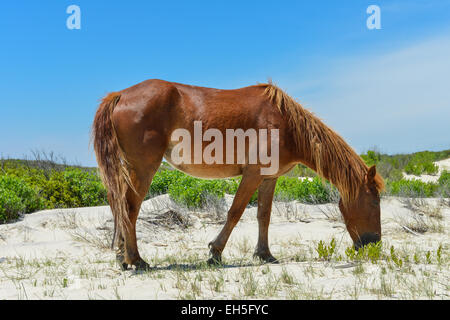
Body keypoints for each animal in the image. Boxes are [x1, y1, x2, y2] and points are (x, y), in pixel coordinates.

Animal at [90, 79, 384, 270]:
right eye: (374, 201)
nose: (374, 244)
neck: (287, 124)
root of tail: (120, 95)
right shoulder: (252, 175)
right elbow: (235, 212)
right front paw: (215, 253)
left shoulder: (269, 178)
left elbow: (264, 216)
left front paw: (265, 255)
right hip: (143, 168)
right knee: (130, 209)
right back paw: (136, 260)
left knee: (120, 207)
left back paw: (122, 257)